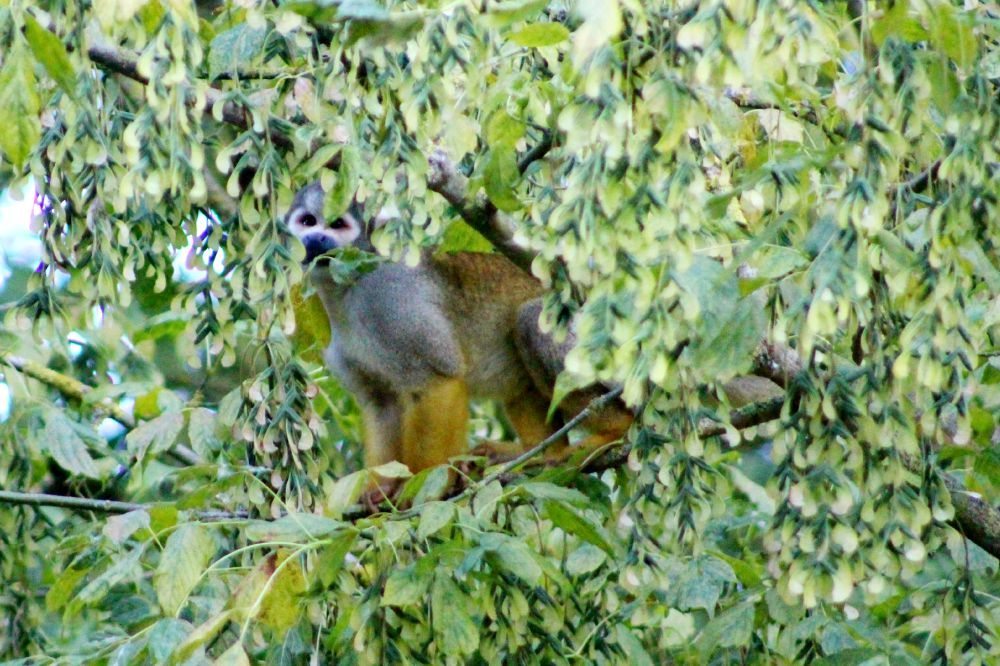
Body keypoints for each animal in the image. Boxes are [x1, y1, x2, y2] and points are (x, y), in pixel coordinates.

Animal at [284, 182, 634, 489]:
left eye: (338, 224)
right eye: (308, 221)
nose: (316, 237)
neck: (348, 287)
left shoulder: (392, 297)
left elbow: (438, 378)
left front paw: (419, 491)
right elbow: (382, 404)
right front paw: (380, 490)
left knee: (530, 321)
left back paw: (613, 431)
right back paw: (539, 452)